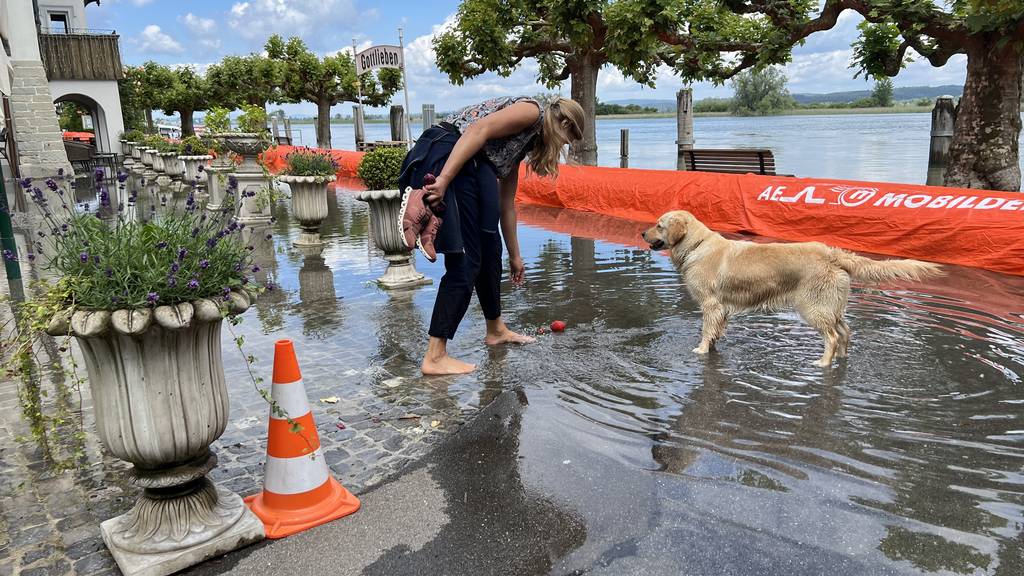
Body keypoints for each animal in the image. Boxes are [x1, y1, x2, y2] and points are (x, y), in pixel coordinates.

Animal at [638, 210, 942, 362]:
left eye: (659, 225)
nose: (641, 233)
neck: (696, 245)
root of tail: (833, 253)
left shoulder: (711, 305)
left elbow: (705, 330)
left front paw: (701, 350)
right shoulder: (721, 309)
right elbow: (716, 332)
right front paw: (712, 347)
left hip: (813, 306)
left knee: (832, 336)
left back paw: (823, 362)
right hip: (832, 306)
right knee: (846, 332)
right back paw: (841, 359)